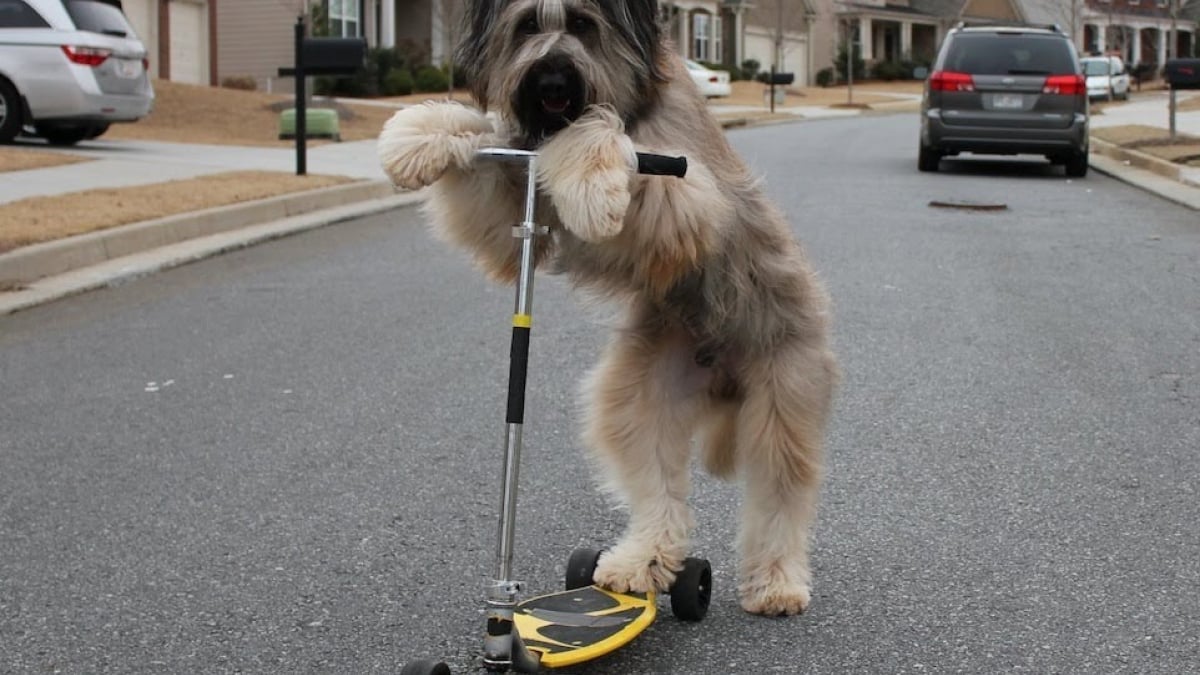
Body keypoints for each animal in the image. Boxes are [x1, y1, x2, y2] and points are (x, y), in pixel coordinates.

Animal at [379, 0, 840, 612]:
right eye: (527, 24)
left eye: (581, 23)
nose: (552, 81)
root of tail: (724, 382)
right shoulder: (515, 195)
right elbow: (484, 144)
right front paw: (416, 137)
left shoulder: (685, 192)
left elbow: (604, 138)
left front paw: (593, 186)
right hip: (641, 397)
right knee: (658, 490)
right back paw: (637, 565)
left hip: (782, 394)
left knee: (779, 497)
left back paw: (776, 582)